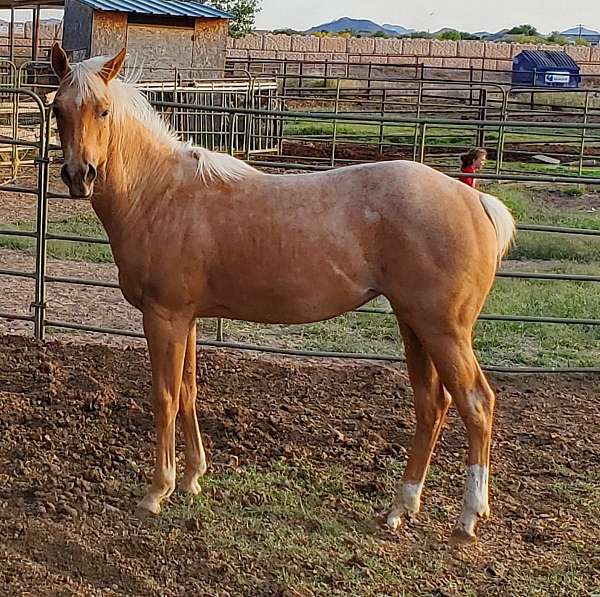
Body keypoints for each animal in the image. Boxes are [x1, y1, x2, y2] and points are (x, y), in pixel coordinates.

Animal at [49, 44, 512, 544]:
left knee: (476, 404)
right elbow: (190, 392)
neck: (158, 192)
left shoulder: (164, 317)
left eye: (103, 110)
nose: (79, 176)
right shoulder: (186, 319)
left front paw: (158, 491)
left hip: (443, 330)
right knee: (432, 405)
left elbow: (166, 396)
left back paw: (468, 517)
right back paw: (399, 508)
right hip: (414, 325)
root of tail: (476, 200)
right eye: (58, 109)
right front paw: (192, 478)